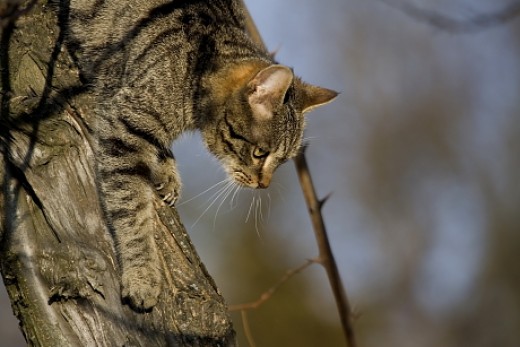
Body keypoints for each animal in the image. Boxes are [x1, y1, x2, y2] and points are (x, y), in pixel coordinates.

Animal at [64, 0, 338, 312]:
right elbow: (131, 210)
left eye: (282, 161)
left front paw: (166, 170)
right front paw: (142, 274)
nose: (264, 185)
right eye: (260, 153)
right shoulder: (125, 125)